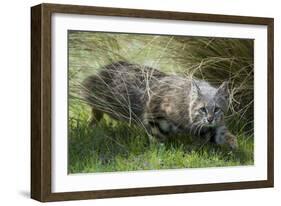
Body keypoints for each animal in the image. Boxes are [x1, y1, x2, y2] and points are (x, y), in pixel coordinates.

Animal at [82, 60, 237, 149]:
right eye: (203, 109)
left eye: (217, 109)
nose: (210, 119)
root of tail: (108, 65)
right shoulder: (153, 114)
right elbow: (157, 138)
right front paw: (158, 154)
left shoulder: (203, 127)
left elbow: (221, 134)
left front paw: (233, 144)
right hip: (105, 98)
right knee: (93, 102)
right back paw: (91, 123)